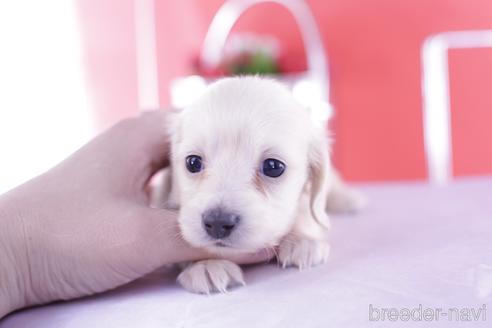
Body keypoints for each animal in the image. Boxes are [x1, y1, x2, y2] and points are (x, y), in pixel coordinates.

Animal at [154, 77, 366, 294]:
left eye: (273, 167)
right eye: (193, 163)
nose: (218, 223)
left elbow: (305, 210)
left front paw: (303, 240)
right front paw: (206, 264)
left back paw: (348, 199)